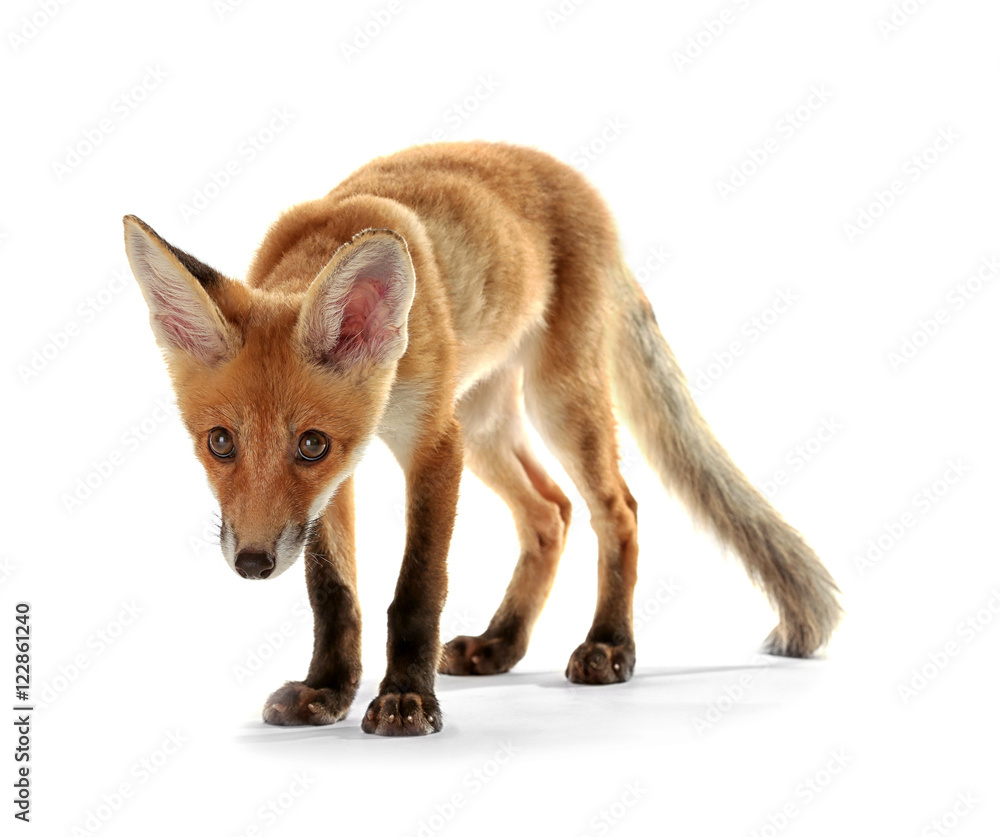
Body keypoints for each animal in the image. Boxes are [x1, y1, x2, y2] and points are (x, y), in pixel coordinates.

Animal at [123, 141, 841, 736]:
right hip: (486, 425)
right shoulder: (342, 481)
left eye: (310, 445)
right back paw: (503, 642)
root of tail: (585, 193)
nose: (252, 563)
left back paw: (611, 643)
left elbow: (418, 589)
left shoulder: (431, 445)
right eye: (220, 442)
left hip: (554, 403)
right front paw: (327, 689)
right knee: (551, 511)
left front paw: (407, 699)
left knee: (618, 508)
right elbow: (334, 593)